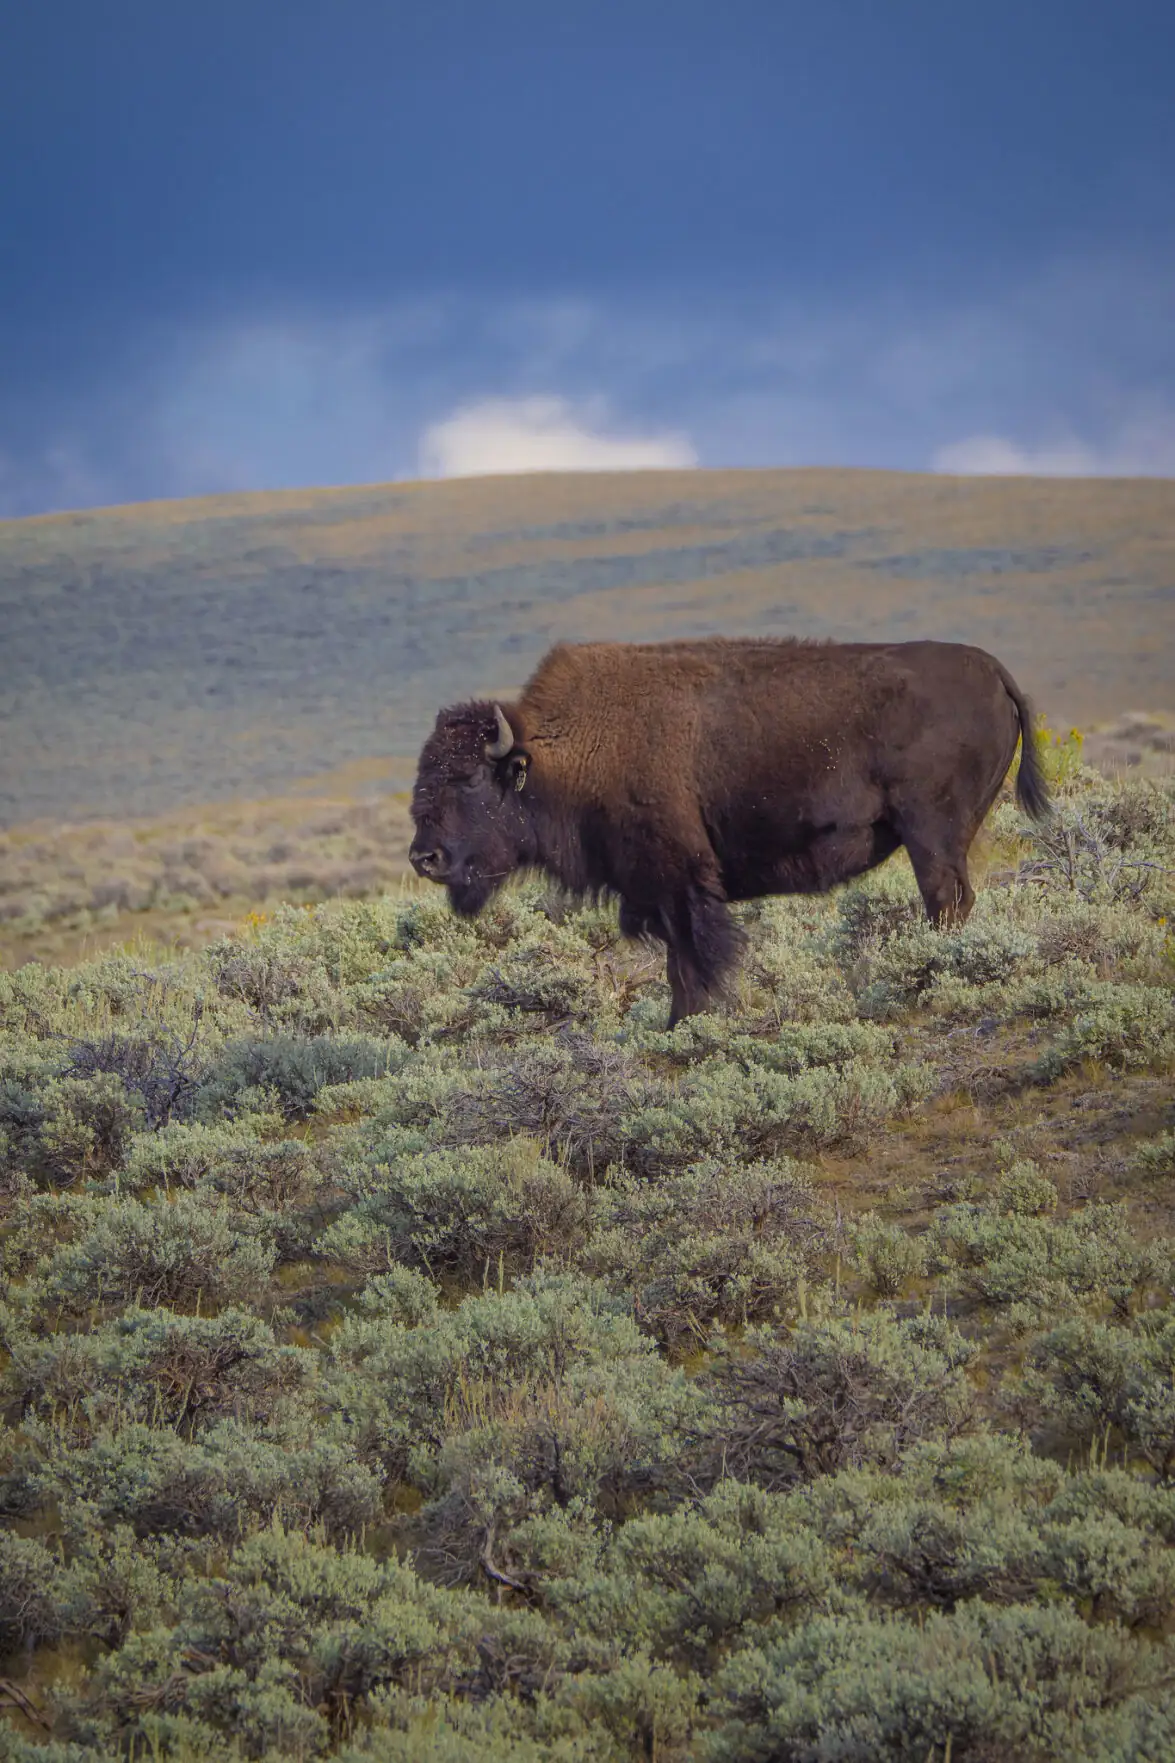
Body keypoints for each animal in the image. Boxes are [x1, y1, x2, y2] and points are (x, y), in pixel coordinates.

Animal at [409, 638, 1050, 1026]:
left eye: (469, 778)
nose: (425, 858)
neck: (564, 752)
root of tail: (993, 672)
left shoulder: (680, 886)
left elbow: (694, 963)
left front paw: (690, 1026)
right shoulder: (656, 894)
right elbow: (679, 964)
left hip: (931, 835)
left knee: (945, 899)